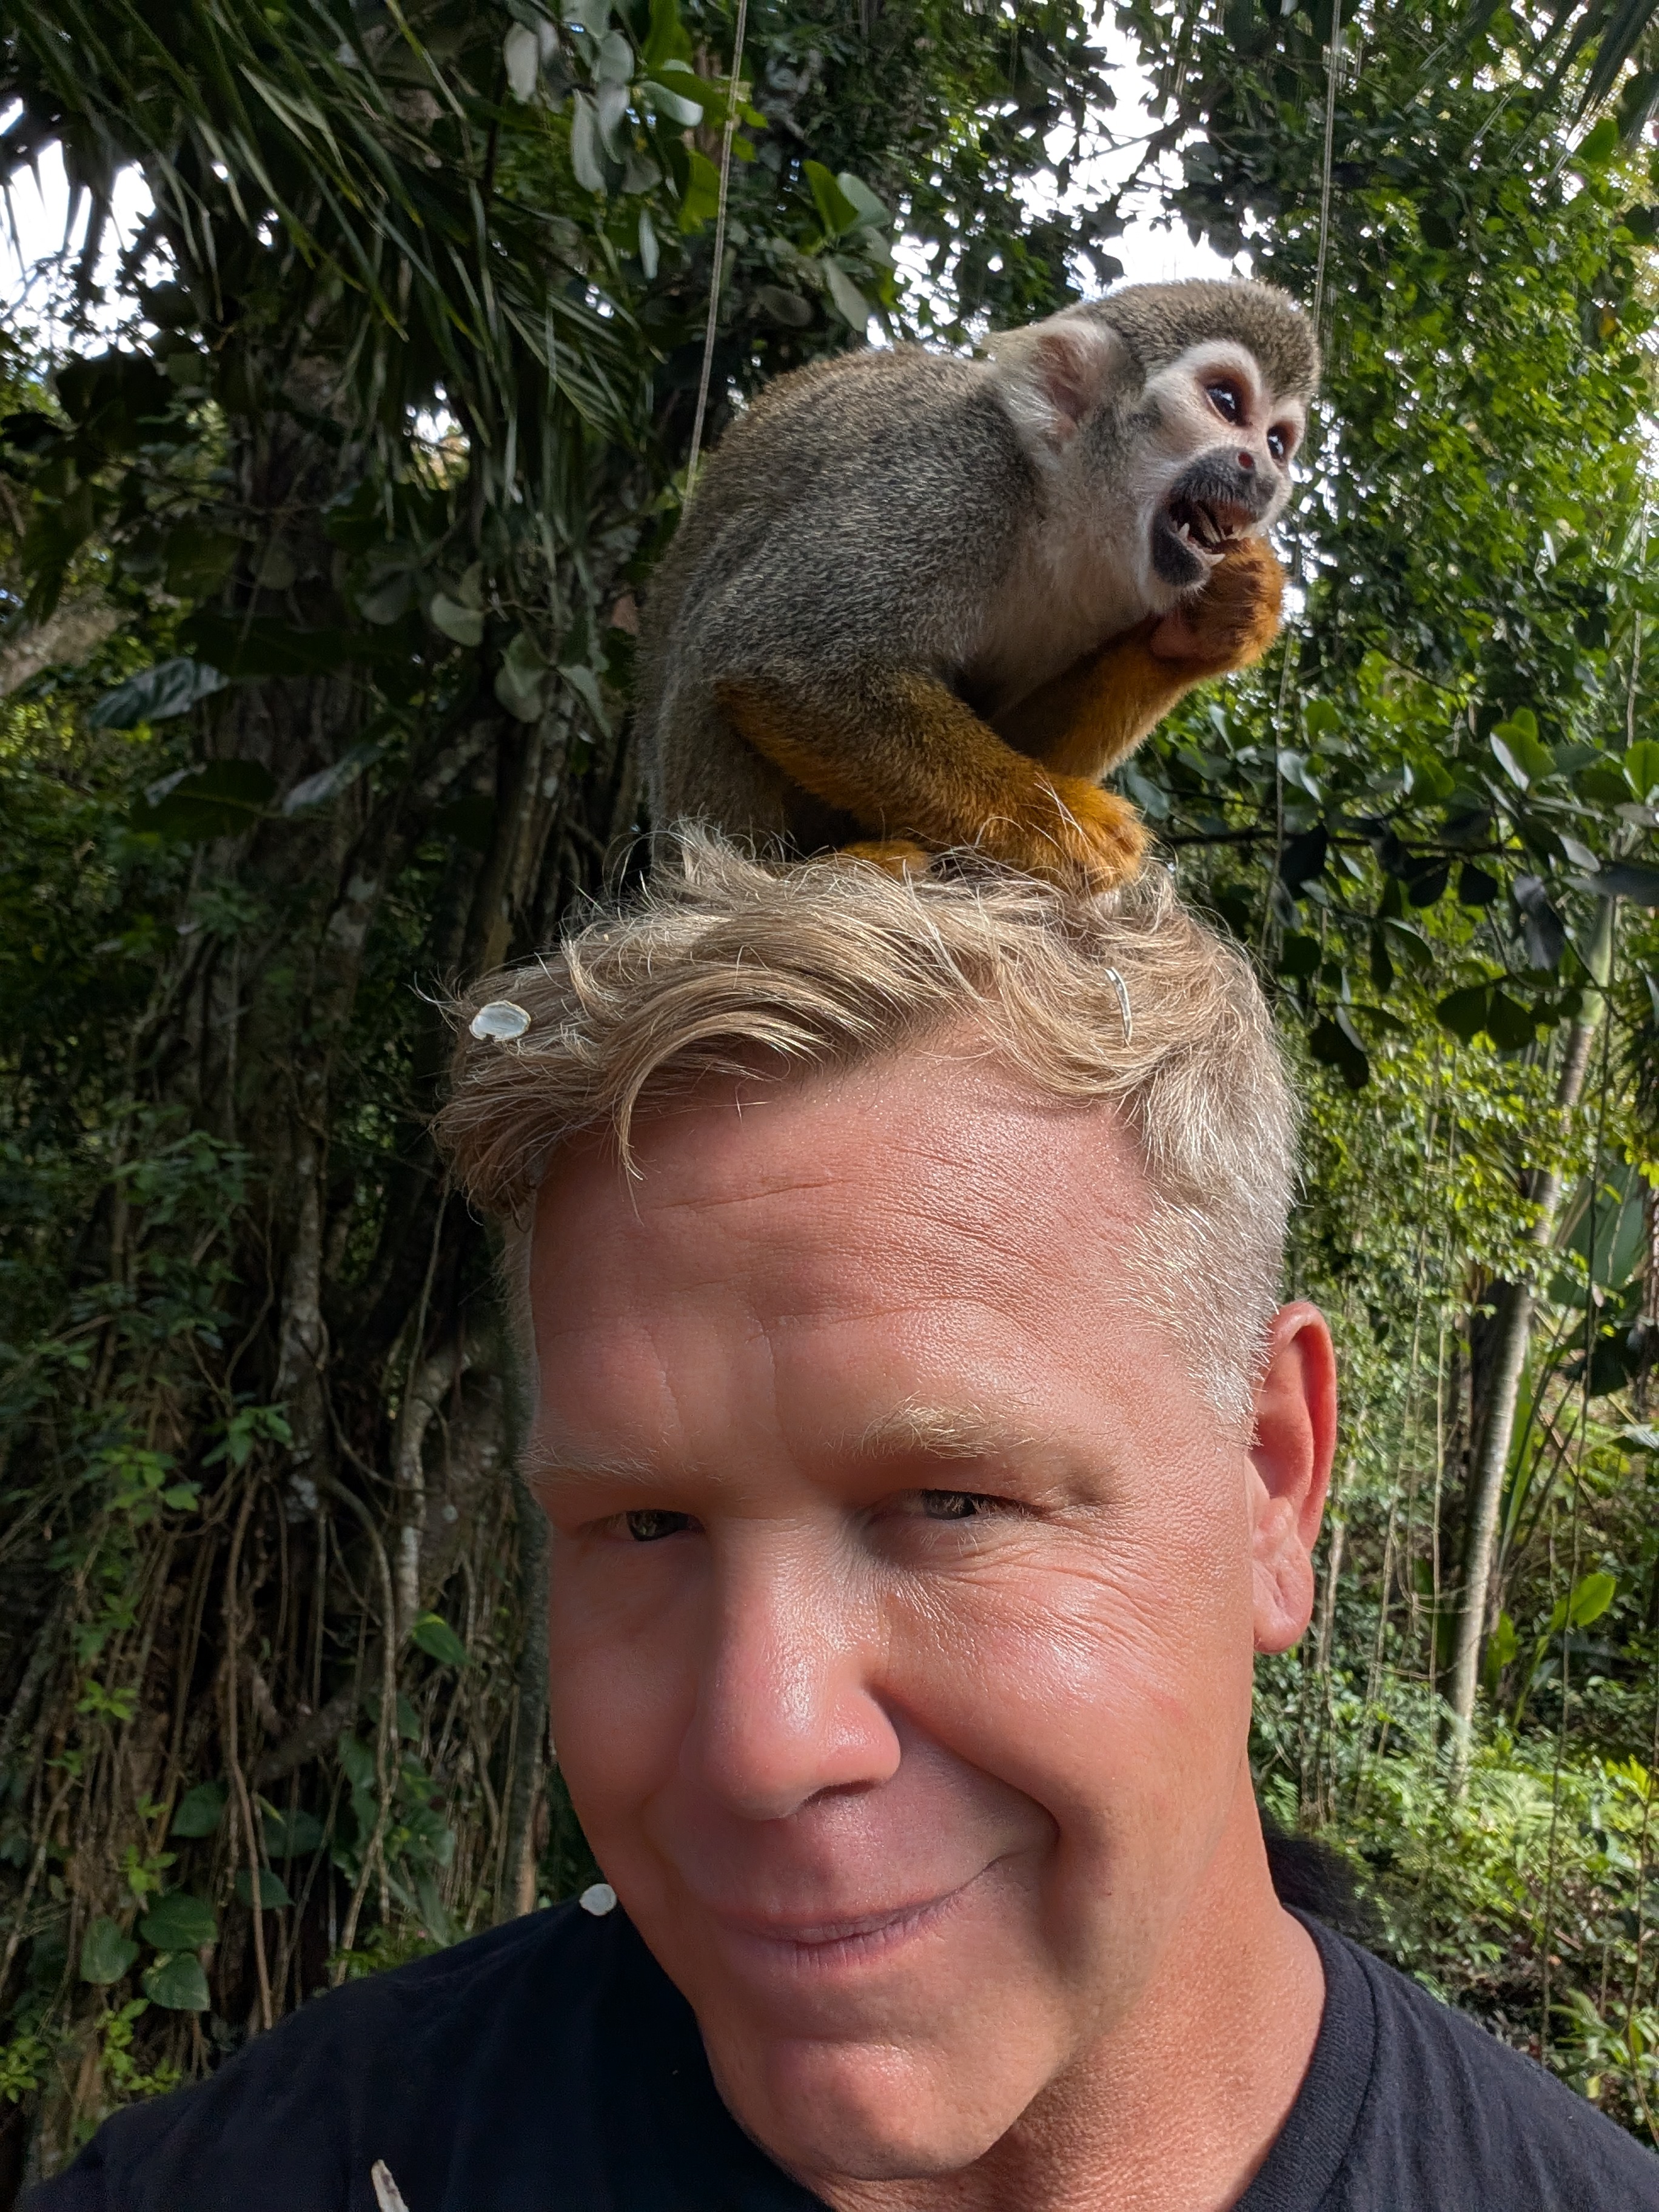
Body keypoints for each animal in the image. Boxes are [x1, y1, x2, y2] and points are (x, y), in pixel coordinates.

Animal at [635, 280, 1318, 891]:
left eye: (1277, 442)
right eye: (1226, 403)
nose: (1263, 474)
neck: (1059, 516)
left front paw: (1214, 627)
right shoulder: (955, 480)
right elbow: (778, 649)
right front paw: (1056, 821)